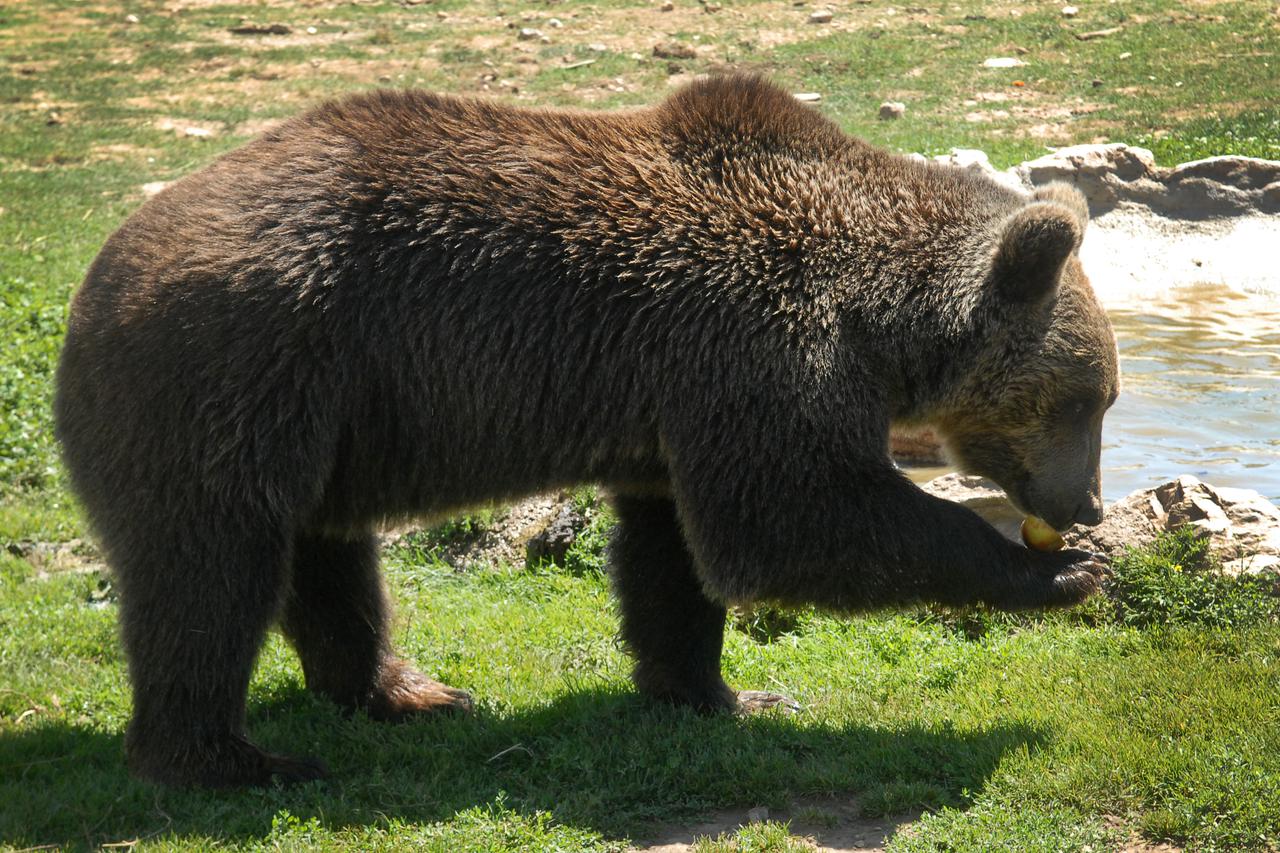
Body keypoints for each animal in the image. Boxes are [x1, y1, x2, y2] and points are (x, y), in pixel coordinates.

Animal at [55, 73, 1116, 783]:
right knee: (209, 569)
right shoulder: (757, 343)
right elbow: (792, 516)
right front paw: (1053, 573)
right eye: (1088, 399)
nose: (1091, 505)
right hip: (234, 370)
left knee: (324, 553)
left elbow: (672, 554)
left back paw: (408, 691)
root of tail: (100, 272)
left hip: (326, 414)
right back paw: (231, 757)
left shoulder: (679, 400)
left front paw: (722, 691)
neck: (876, 313)